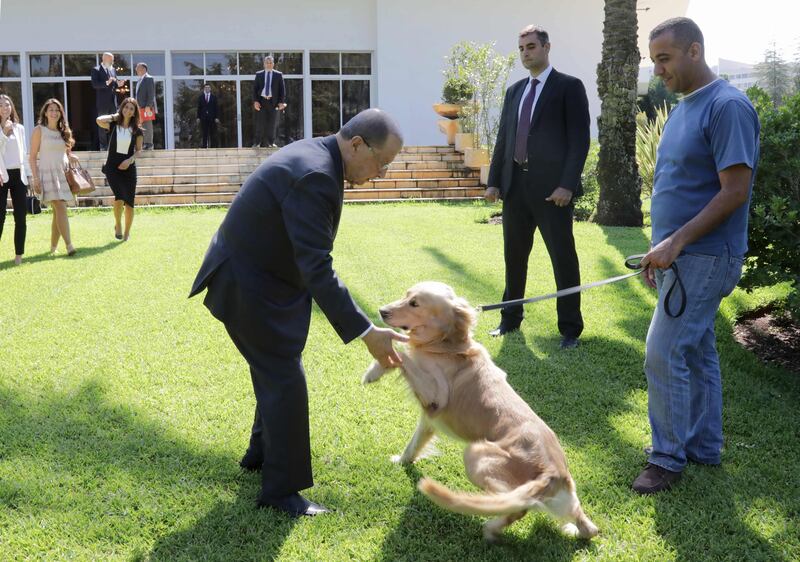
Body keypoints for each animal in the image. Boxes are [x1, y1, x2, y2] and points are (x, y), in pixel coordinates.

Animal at [360, 282, 596, 540]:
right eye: (406, 295)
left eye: (415, 303)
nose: (382, 311)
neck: (446, 345)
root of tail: (553, 472)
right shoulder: (429, 421)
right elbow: (412, 446)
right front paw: (401, 460)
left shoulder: (436, 395)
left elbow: (402, 352)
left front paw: (374, 369)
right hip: (565, 502)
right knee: (582, 524)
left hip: (476, 454)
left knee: (519, 507)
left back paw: (488, 524)